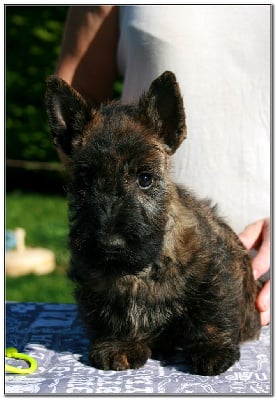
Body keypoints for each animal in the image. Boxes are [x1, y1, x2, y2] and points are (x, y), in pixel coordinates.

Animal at [44, 69, 258, 376]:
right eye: (83, 183)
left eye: (145, 179)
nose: (110, 244)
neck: (143, 269)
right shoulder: (97, 283)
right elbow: (115, 314)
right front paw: (120, 345)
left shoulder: (217, 268)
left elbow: (212, 311)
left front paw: (212, 349)